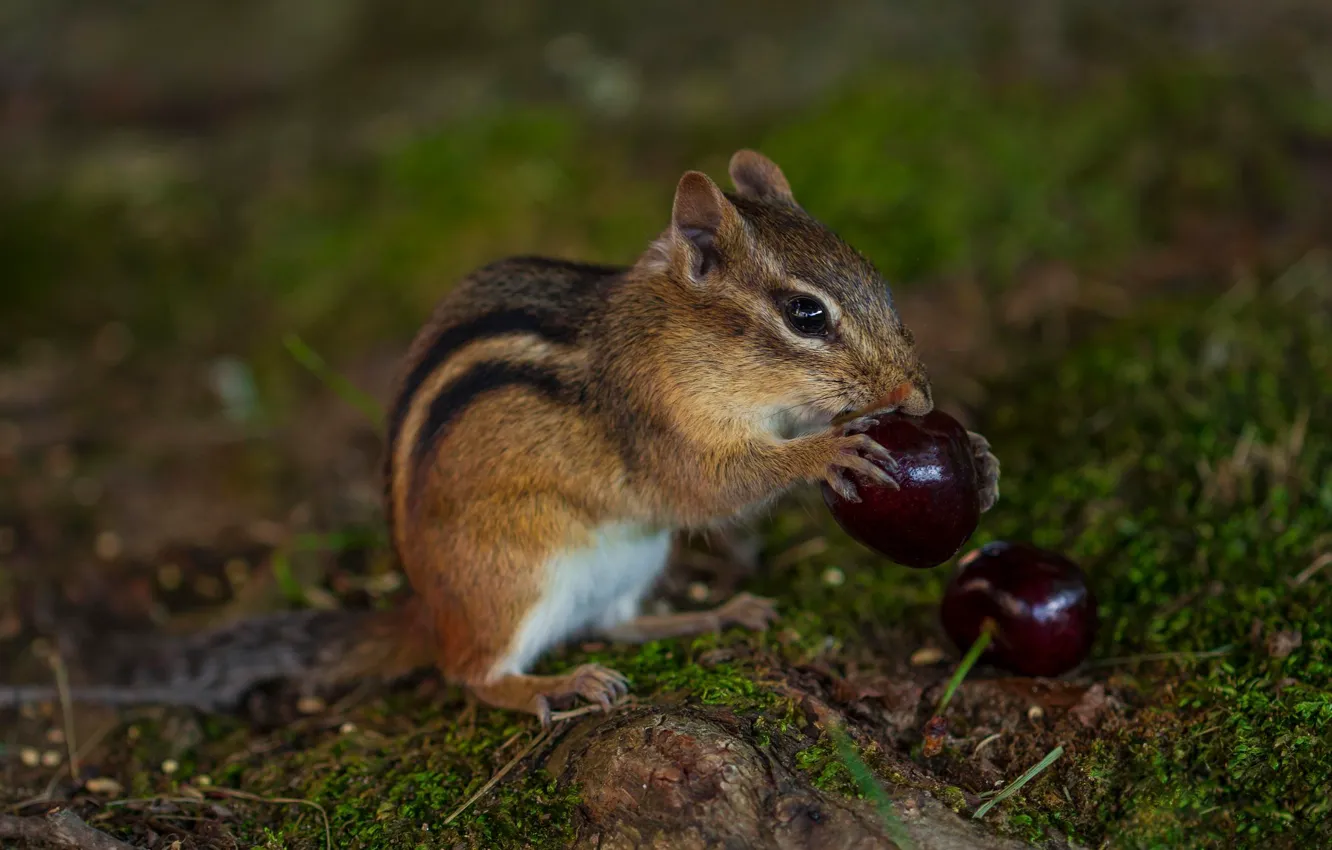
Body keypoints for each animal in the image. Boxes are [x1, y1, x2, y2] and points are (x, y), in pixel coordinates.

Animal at [2, 150, 1000, 726]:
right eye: (805, 314)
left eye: (877, 281)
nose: (917, 393)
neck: (674, 335)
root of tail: (428, 607)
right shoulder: (659, 426)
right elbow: (711, 487)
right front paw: (825, 453)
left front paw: (981, 461)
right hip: (516, 573)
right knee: (470, 673)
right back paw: (547, 686)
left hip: (630, 560)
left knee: (617, 622)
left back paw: (710, 613)